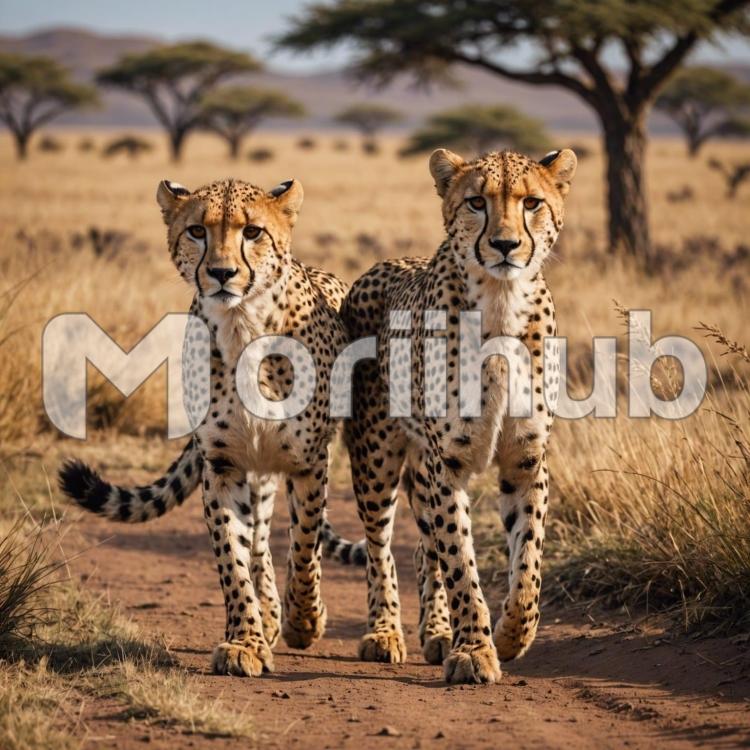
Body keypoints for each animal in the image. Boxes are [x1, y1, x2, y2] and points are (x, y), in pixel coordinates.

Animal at [59, 176, 353, 678]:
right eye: (197, 230)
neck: (242, 325)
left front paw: (305, 622)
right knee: (260, 540)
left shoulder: (309, 462)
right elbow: (232, 556)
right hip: (258, 472)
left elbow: (305, 545)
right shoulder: (223, 463)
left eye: (252, 232)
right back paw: (268, 616)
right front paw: (246, 640)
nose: (221, 273)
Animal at [338, 147, 577, 684]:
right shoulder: (444, 463)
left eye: (532, 202)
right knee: (382, 546)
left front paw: (511, 635)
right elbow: (462, 562)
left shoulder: (525, 460)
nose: (506, 245)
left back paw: (437, 632)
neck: (501, 302)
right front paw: (475, 650)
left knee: (425, 545)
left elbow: (528, 561)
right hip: (376, 459)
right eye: (476, 202)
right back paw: (386, 632)